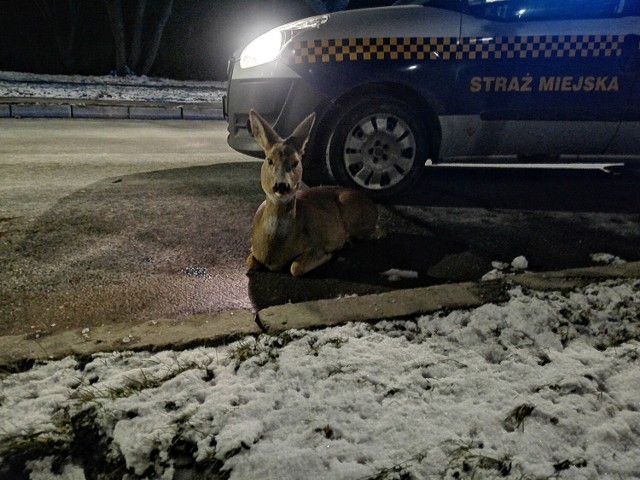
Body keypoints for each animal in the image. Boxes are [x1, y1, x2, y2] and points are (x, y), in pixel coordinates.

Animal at [248, 110, 382, 278]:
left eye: (296, 162)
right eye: (269, 160)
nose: (282, 186)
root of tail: (373, 207)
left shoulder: (316, 244)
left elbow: (295, 267)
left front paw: (329, 254)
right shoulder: (253, 249)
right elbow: (250, 263)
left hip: (356, 216)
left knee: (378, 231)